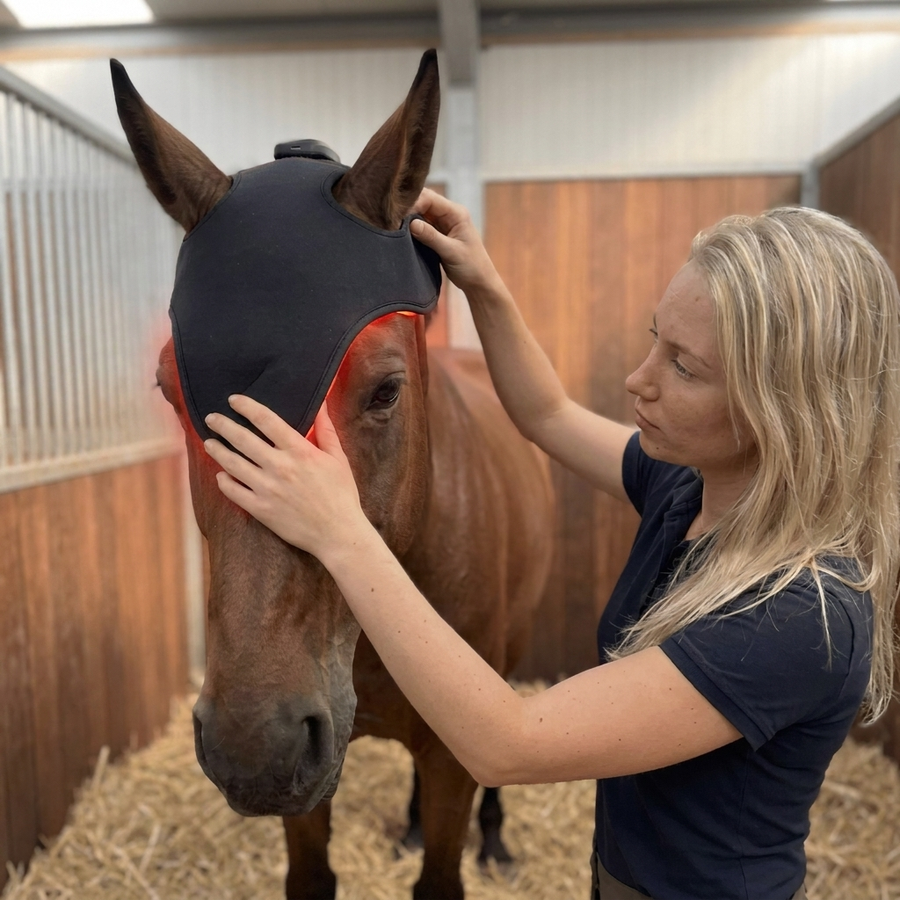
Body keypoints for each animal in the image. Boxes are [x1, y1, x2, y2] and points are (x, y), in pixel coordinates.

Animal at [111, 50, 554, 900]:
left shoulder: (455, 753)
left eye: (385, 390)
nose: (255, 744)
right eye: (169, 389)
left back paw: (496, 841)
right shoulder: (310, 783)